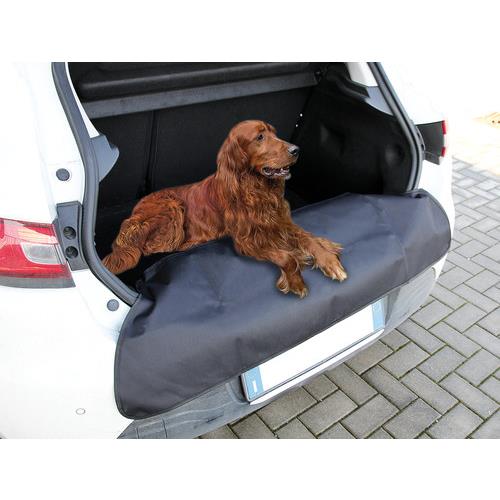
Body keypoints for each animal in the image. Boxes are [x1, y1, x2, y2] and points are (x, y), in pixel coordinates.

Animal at [102, 120, 347, 297]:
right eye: (259, 137)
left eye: (274, 133)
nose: (296, 150)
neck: (256, 190)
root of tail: (134, 214)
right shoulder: (246, 241)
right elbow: (286, 257)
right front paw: (296, 281)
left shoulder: (281, 221)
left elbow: (309, 239)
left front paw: (329, 260)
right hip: (172, 207)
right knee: (152, 246)